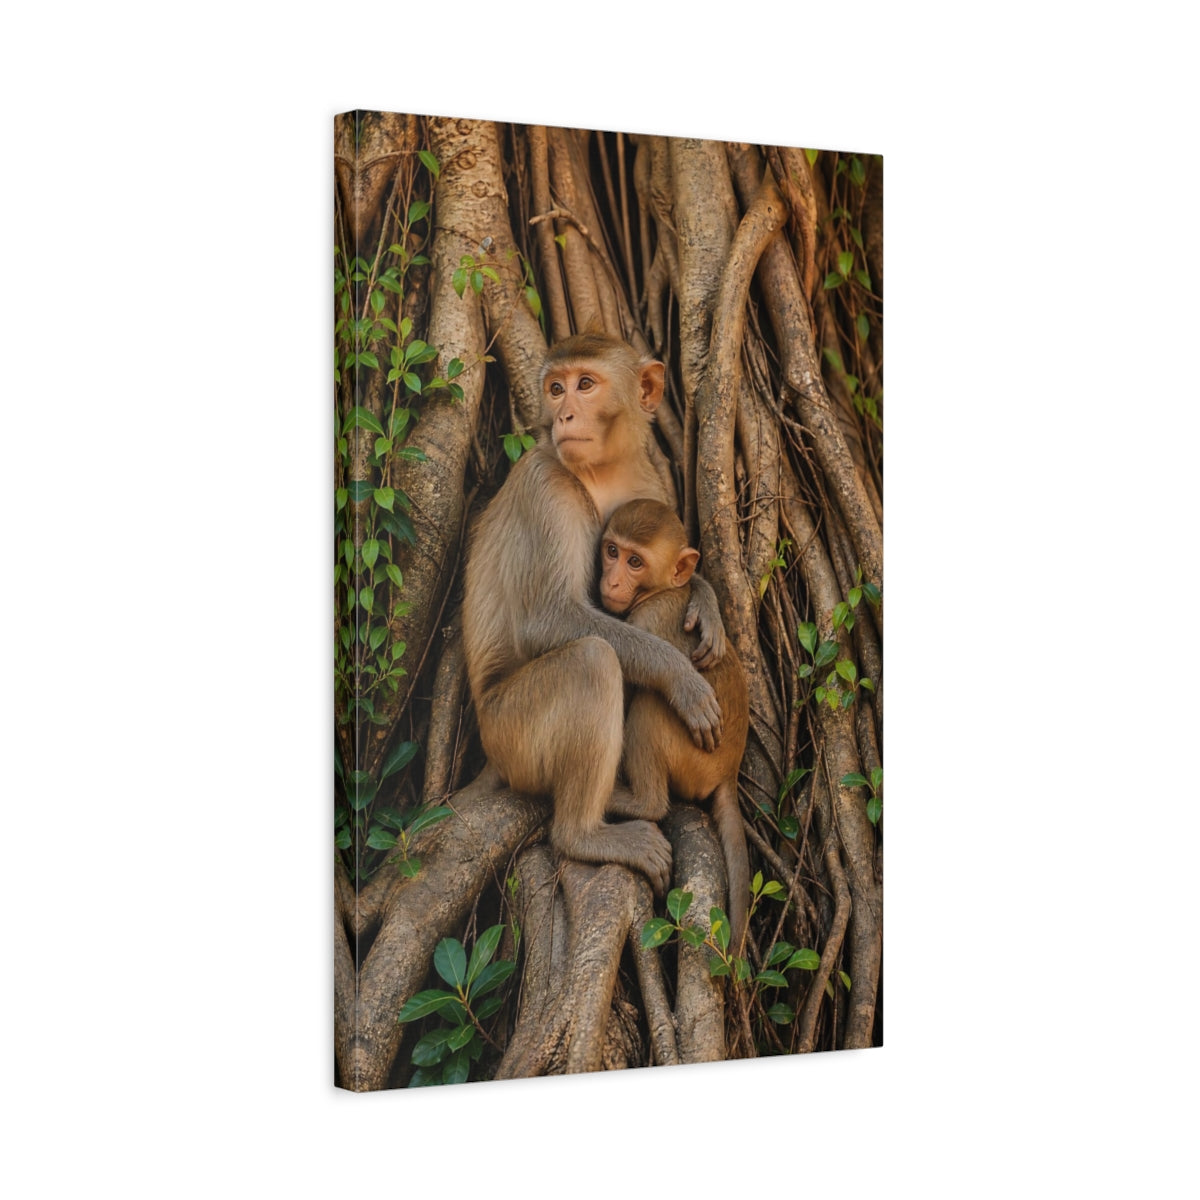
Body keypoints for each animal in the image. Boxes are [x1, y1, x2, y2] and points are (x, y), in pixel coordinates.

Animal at [462, 333, 729, 895]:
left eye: (585, 385)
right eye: (555, 388)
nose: (563, 414)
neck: (601, 473)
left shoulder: (650, 480)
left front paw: (705, 601)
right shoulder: (546, 486)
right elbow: (548, 621)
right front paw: (680, 677)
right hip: (509, 733)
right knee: (591, 660)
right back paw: (584, 835)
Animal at [598, 498, 751, 951]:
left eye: (634, 562)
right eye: (611, 551)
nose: (611, 580)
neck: (663, 591)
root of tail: (729, 771)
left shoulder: (646, 618)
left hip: (694, 757)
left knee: (650, 704)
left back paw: (639, 803)